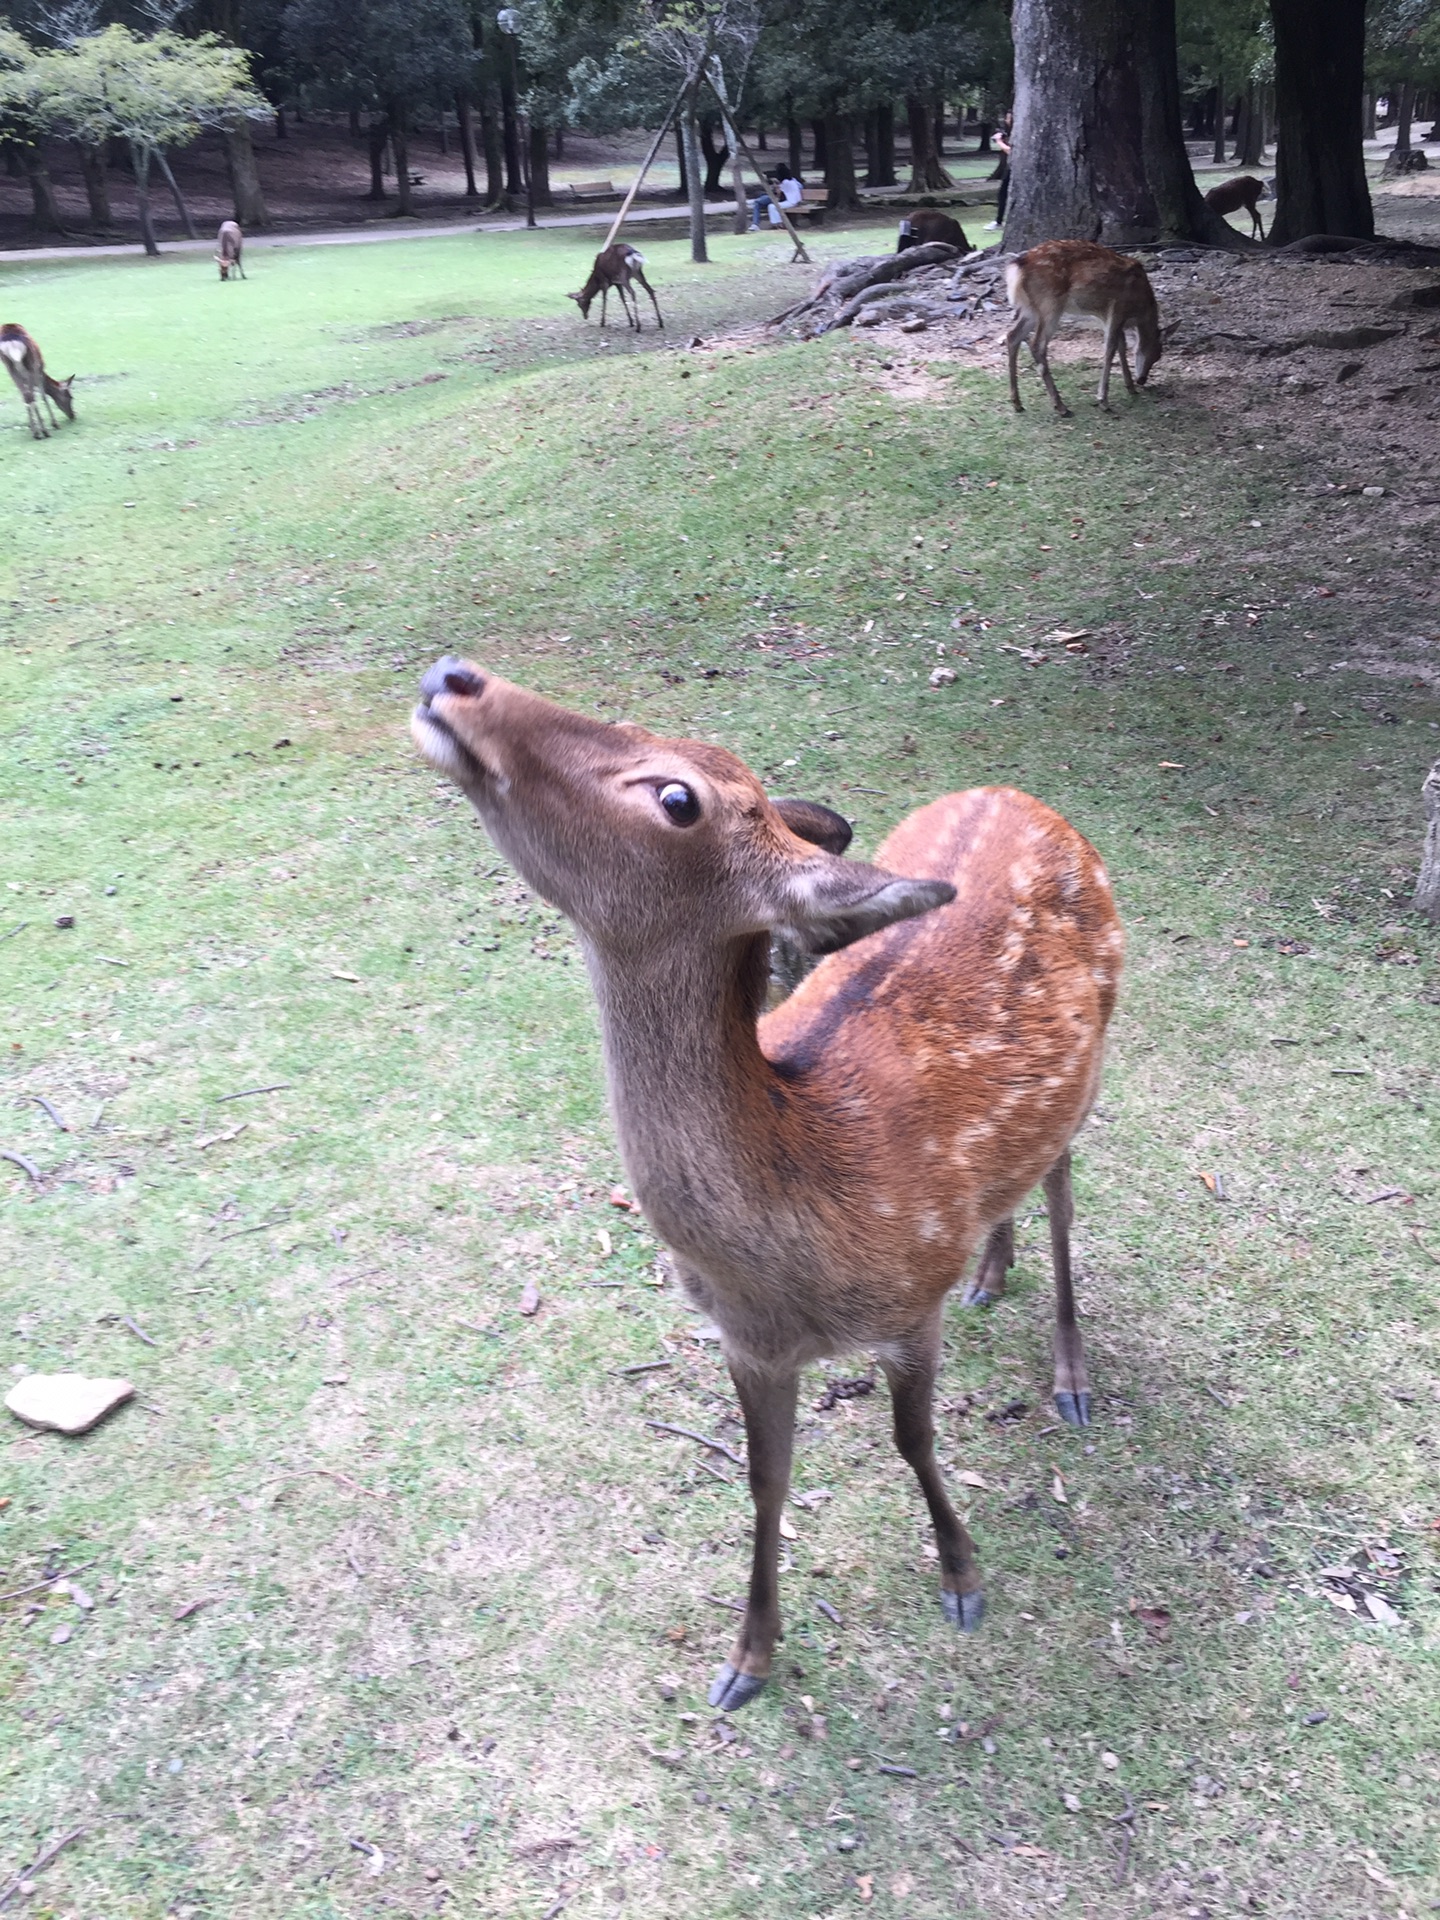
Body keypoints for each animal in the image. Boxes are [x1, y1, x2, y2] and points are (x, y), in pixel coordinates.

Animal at [408, 656, 1128, 1712]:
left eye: (677, 798)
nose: (456, 675)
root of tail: (1023, 794)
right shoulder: (746, 1343)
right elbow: (764, 1480)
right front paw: (747, 1659)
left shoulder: (909, 1304)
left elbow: (913, 1441)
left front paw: (963, 1578)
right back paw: (990, 1271)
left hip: (1098, 1061)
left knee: (1067, 1193)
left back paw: (1071, 1379)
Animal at [1006, 239, 1167, 416]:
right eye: (1156, 354)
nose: (1142, 380)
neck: (1140, 309)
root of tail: (1018, 265)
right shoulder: (1117, 307)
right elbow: (1110, 349)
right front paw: (1103, 400)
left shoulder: (1107, 317)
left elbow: (1121, 345)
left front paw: (1130, 387)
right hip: (1050, 303)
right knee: (1036, 344)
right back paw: (1061, 407)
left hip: (1031, 309)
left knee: (1012, 336)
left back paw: (1017, 403)